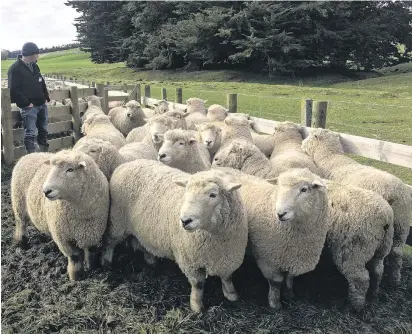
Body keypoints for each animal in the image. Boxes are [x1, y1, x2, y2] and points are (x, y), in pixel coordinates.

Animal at [12, 150, 109, 280]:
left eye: (70, 169)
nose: (46, 191)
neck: (82, 211)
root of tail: (29, 155)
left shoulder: (93, 232)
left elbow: (90, 252)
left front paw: (91, 266)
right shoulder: (64, 238)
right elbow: (74, 257)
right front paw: (75, 276)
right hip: (19, 204)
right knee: (21, 223)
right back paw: (21, 241)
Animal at [102, 160, 248, 314]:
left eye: (213, 195)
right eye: (186, 192)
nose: (185, 221)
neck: (213, 237)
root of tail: (127, 164)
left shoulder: (228, 257)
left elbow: (227, 277)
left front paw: (232, 294)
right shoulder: (190, 262)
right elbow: (198, 285)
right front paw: (196, 306)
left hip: (143, 229)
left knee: (144, 245)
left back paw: (151, 261)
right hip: (117, 221)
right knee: (109, 242)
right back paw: (106, 262)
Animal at [300, 126, 412, 286]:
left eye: (310, 137)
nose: (301, 145)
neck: (331, 158)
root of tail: (398, 193)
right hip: (401, 226)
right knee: (396, 252)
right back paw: (394, 279)